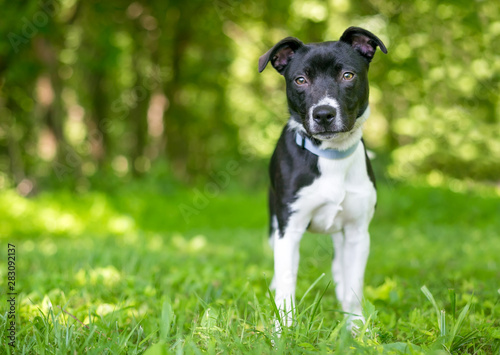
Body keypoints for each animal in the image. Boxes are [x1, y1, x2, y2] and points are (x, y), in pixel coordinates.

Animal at [260, 27, 388, 330]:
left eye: (348, 75)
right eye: (300, 80)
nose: (323, 114)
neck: (332, 157)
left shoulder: (357, 232)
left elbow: (354, 286)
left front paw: (356, 329)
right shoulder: (289, 230)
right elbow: (286, 284)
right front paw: (283, 331)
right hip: (274, 224)